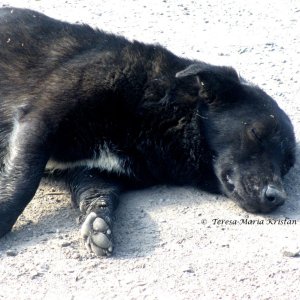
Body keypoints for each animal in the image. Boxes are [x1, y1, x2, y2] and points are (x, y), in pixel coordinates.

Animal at [0, 7, 296, 255]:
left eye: (286, 166)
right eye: (256, 133)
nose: (277, 198)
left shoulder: (92, 171)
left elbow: (101, 196)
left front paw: (99, 221)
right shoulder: (40, 122)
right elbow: (23, 184)